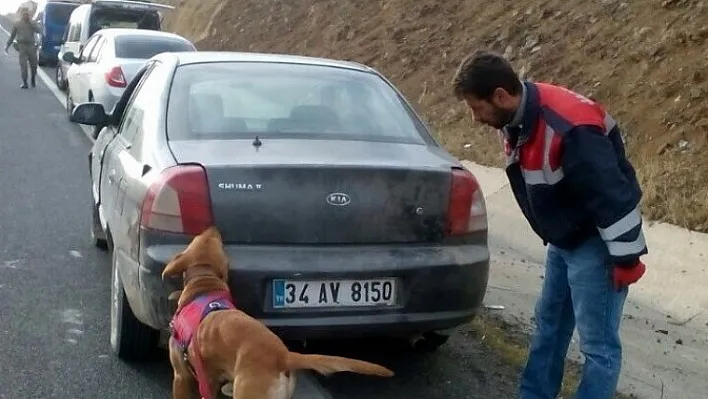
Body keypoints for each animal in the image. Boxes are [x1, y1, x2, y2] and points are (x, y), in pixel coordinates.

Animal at [162, 228, 392, 399]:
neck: (203, 285)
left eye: (199, 238)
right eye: (213, 240)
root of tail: (283, 356)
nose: (214, 227)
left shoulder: (181, 377)